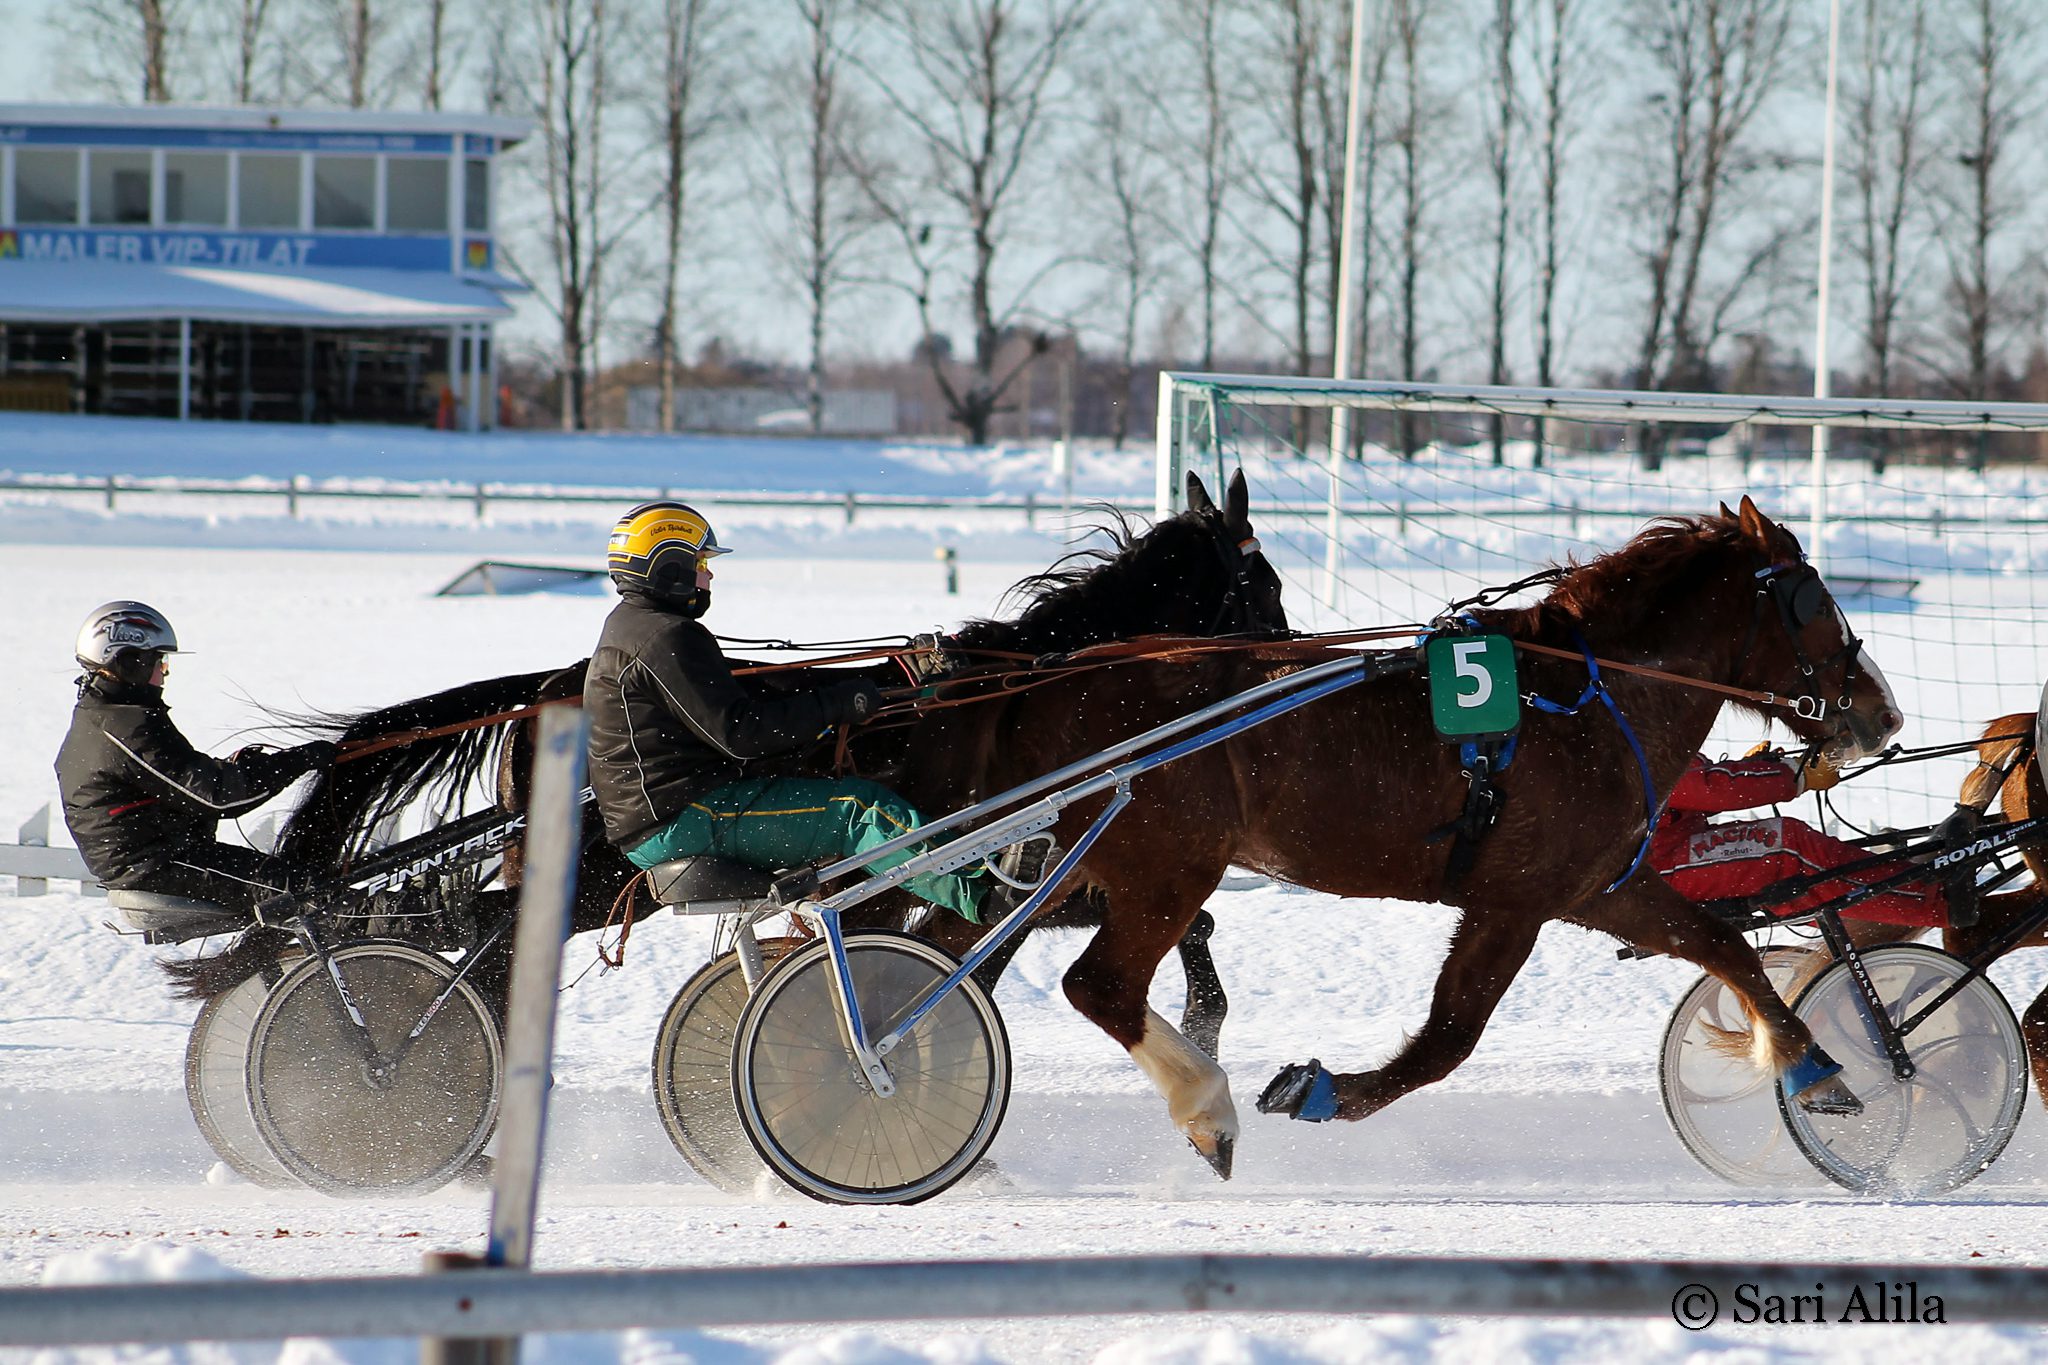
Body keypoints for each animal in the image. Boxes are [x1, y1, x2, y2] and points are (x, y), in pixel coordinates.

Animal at [875, 498, 1902, 1176]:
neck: (1586, 696)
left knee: (950, 955)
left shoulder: (1599, 886)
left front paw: (1817, 1067)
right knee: (1099, 985)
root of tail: (1044, 678)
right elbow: (1447, 1039)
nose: (1881, 712)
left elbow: (1725, 942)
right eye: (1812, 602)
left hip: (1062, 865)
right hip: (1167, 863)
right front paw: (1320, 1088)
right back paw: (1206, 1108)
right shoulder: (1514, 901)